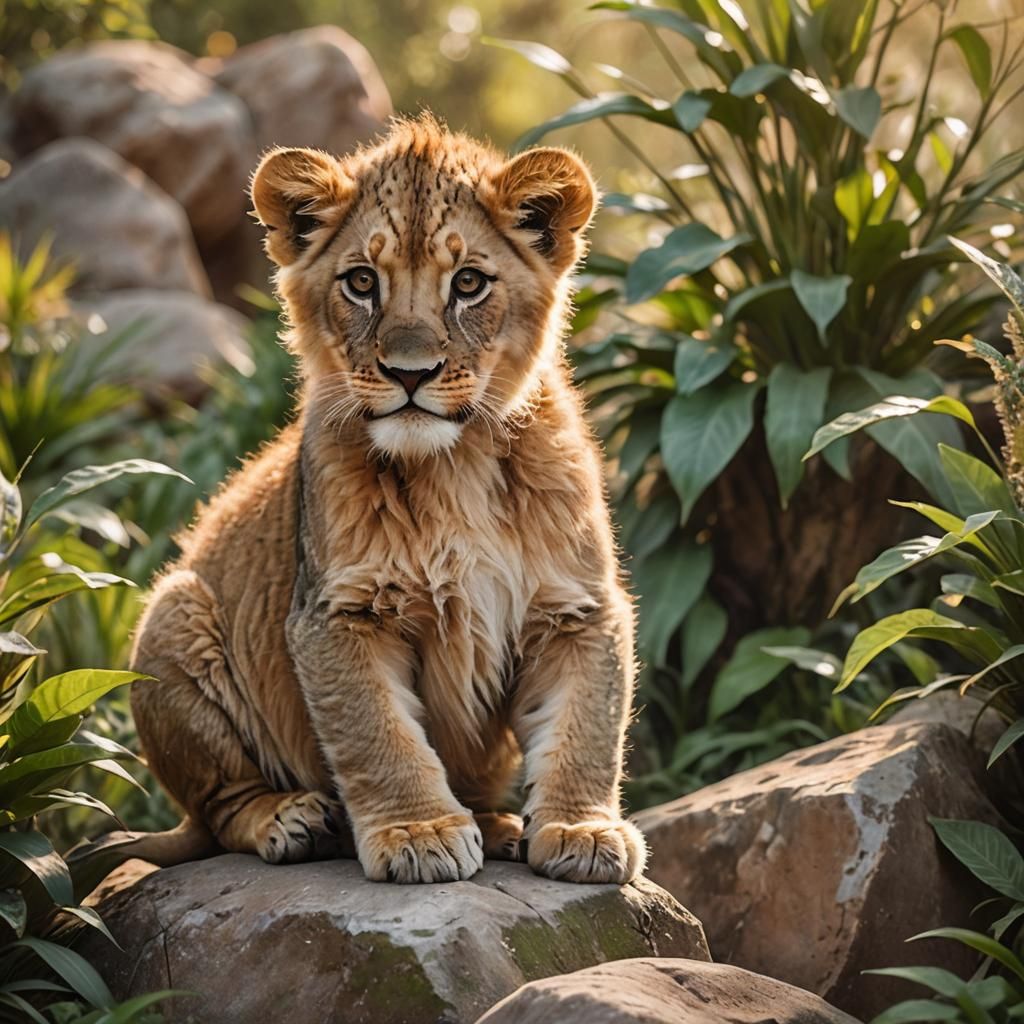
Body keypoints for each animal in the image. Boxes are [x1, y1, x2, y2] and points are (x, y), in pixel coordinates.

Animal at [95, 114, 646, 885]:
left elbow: (586, 726)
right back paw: (295, 820)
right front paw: (420, 833)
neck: (452, 467)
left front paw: (581, 830)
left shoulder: (575, 607)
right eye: (362, 282)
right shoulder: (338, 612)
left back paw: (499, 825)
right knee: (220, 807)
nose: (409, 373)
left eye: (468, 283)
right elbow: (378, 734)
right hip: (172, 613)